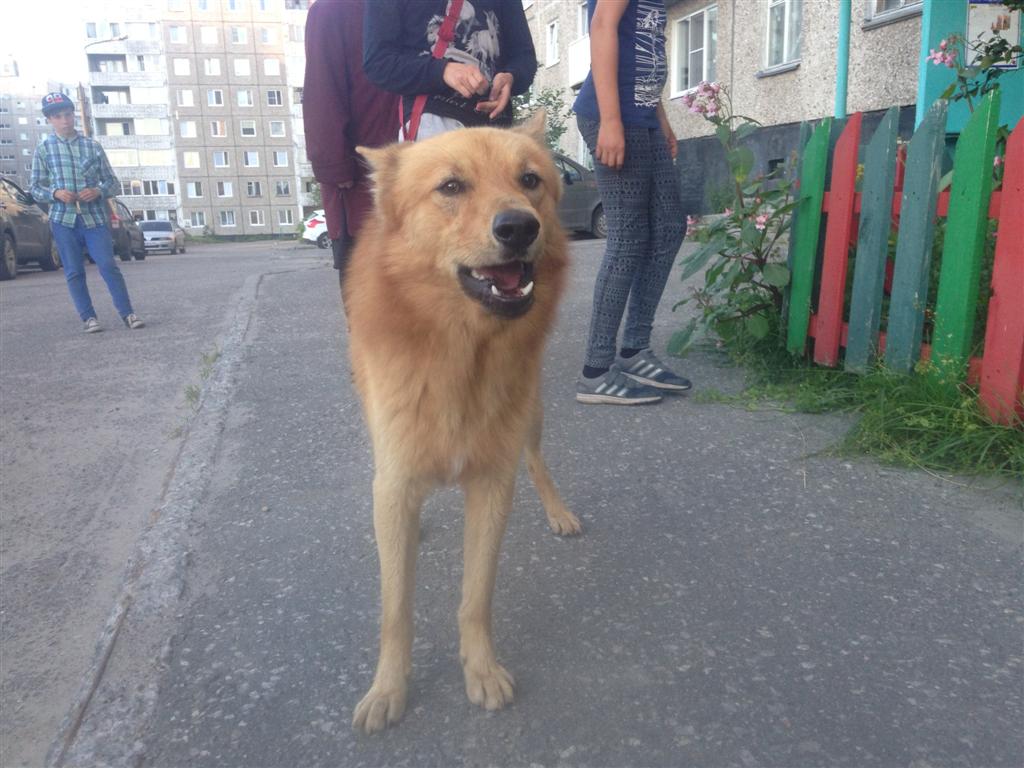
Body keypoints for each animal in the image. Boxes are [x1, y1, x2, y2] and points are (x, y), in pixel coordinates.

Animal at [344, 112, 579, 734]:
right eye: (451, 187)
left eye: (530, 180)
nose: (519, 228)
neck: (459, 354)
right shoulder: (396, 480)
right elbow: (395, 608)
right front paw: (389, 688)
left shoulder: (492, 484)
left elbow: (476, 597)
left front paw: (481, 670)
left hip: (532, 416)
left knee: (538, 461)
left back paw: (559, 510)